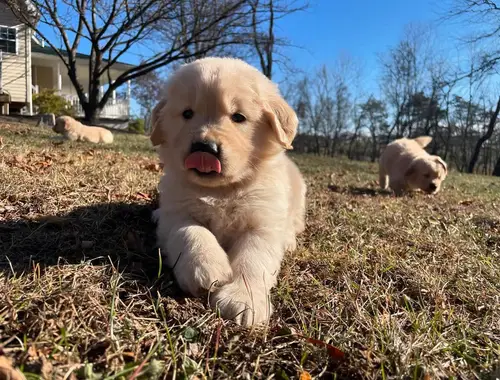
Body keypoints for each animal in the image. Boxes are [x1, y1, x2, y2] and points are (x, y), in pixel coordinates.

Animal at [149, 56, 304, 326]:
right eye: (187, 113)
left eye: (238, 117)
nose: (204, 148)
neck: (222, 190)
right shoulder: (177, 211)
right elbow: (191, 232)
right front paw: (205, 267)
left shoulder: (262, 222)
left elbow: (253, 259)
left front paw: (243, 298)